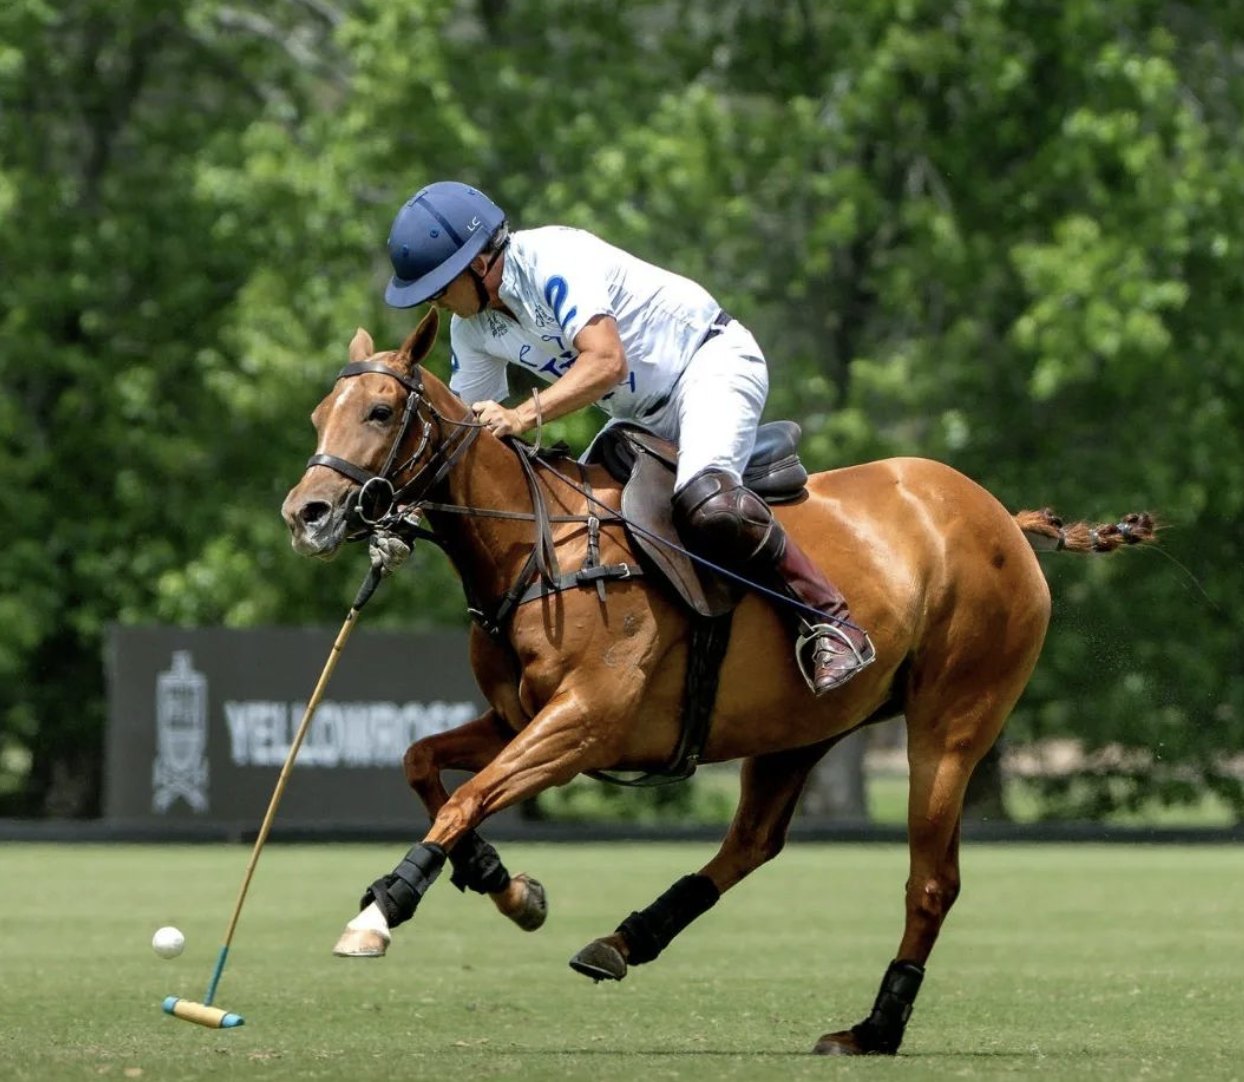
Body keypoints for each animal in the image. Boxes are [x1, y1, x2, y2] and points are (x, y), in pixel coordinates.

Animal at [282, 310, 1154, 1059]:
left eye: (381, 410)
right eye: (321, 411)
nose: (307, 513)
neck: (538, 547)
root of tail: (1004, 517)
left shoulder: (586, 722)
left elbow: (468, 795)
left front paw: (381, 910)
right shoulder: (517, 714)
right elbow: (424, 764)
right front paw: (509, 887)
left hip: (953, 723)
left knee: (932, 879)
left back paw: (873, 1027)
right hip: (801, 727)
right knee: (753, 842)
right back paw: (626, 940)